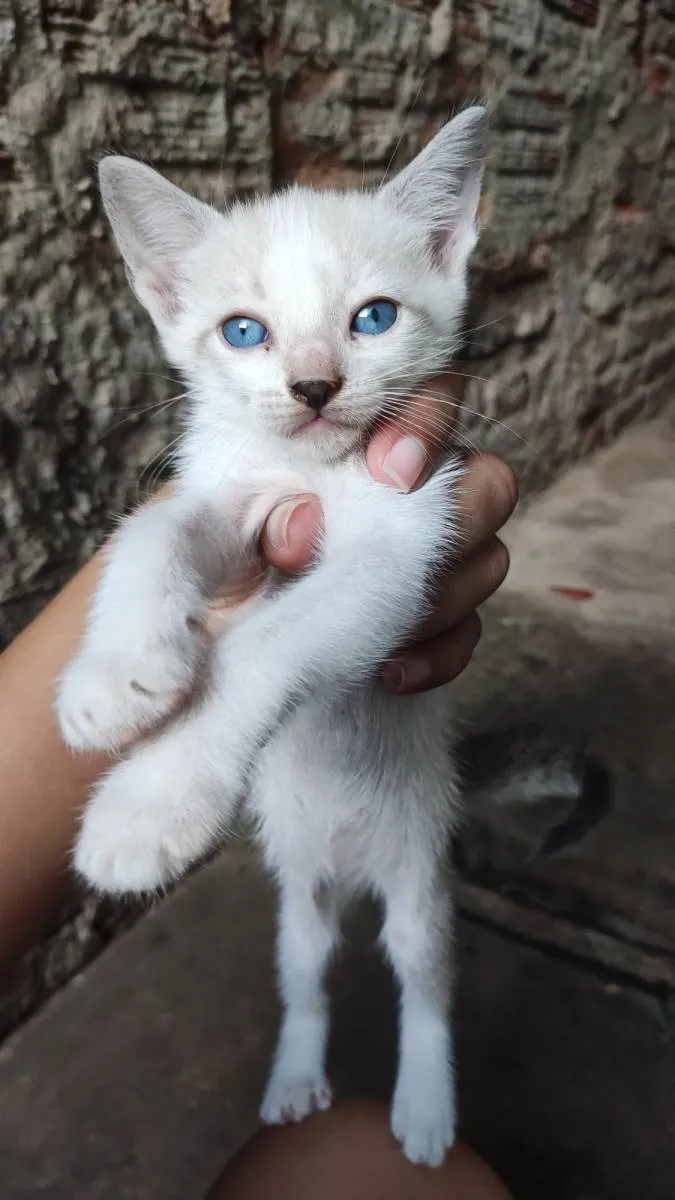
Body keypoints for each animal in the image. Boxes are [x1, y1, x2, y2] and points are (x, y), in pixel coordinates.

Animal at [52, 108, 482, 1166]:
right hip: (298, 901)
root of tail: (353, 866)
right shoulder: (234, 496)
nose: (313, 387)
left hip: (420, 874)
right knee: (308, 970)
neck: (312, 474)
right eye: (243, 331)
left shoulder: (400, 547)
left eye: (374, 317)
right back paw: (293, 1079)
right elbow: (152, 529)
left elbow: (268, 644)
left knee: (422, 975)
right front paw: (115, 673)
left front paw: (147, 804)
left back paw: (423, 1106)